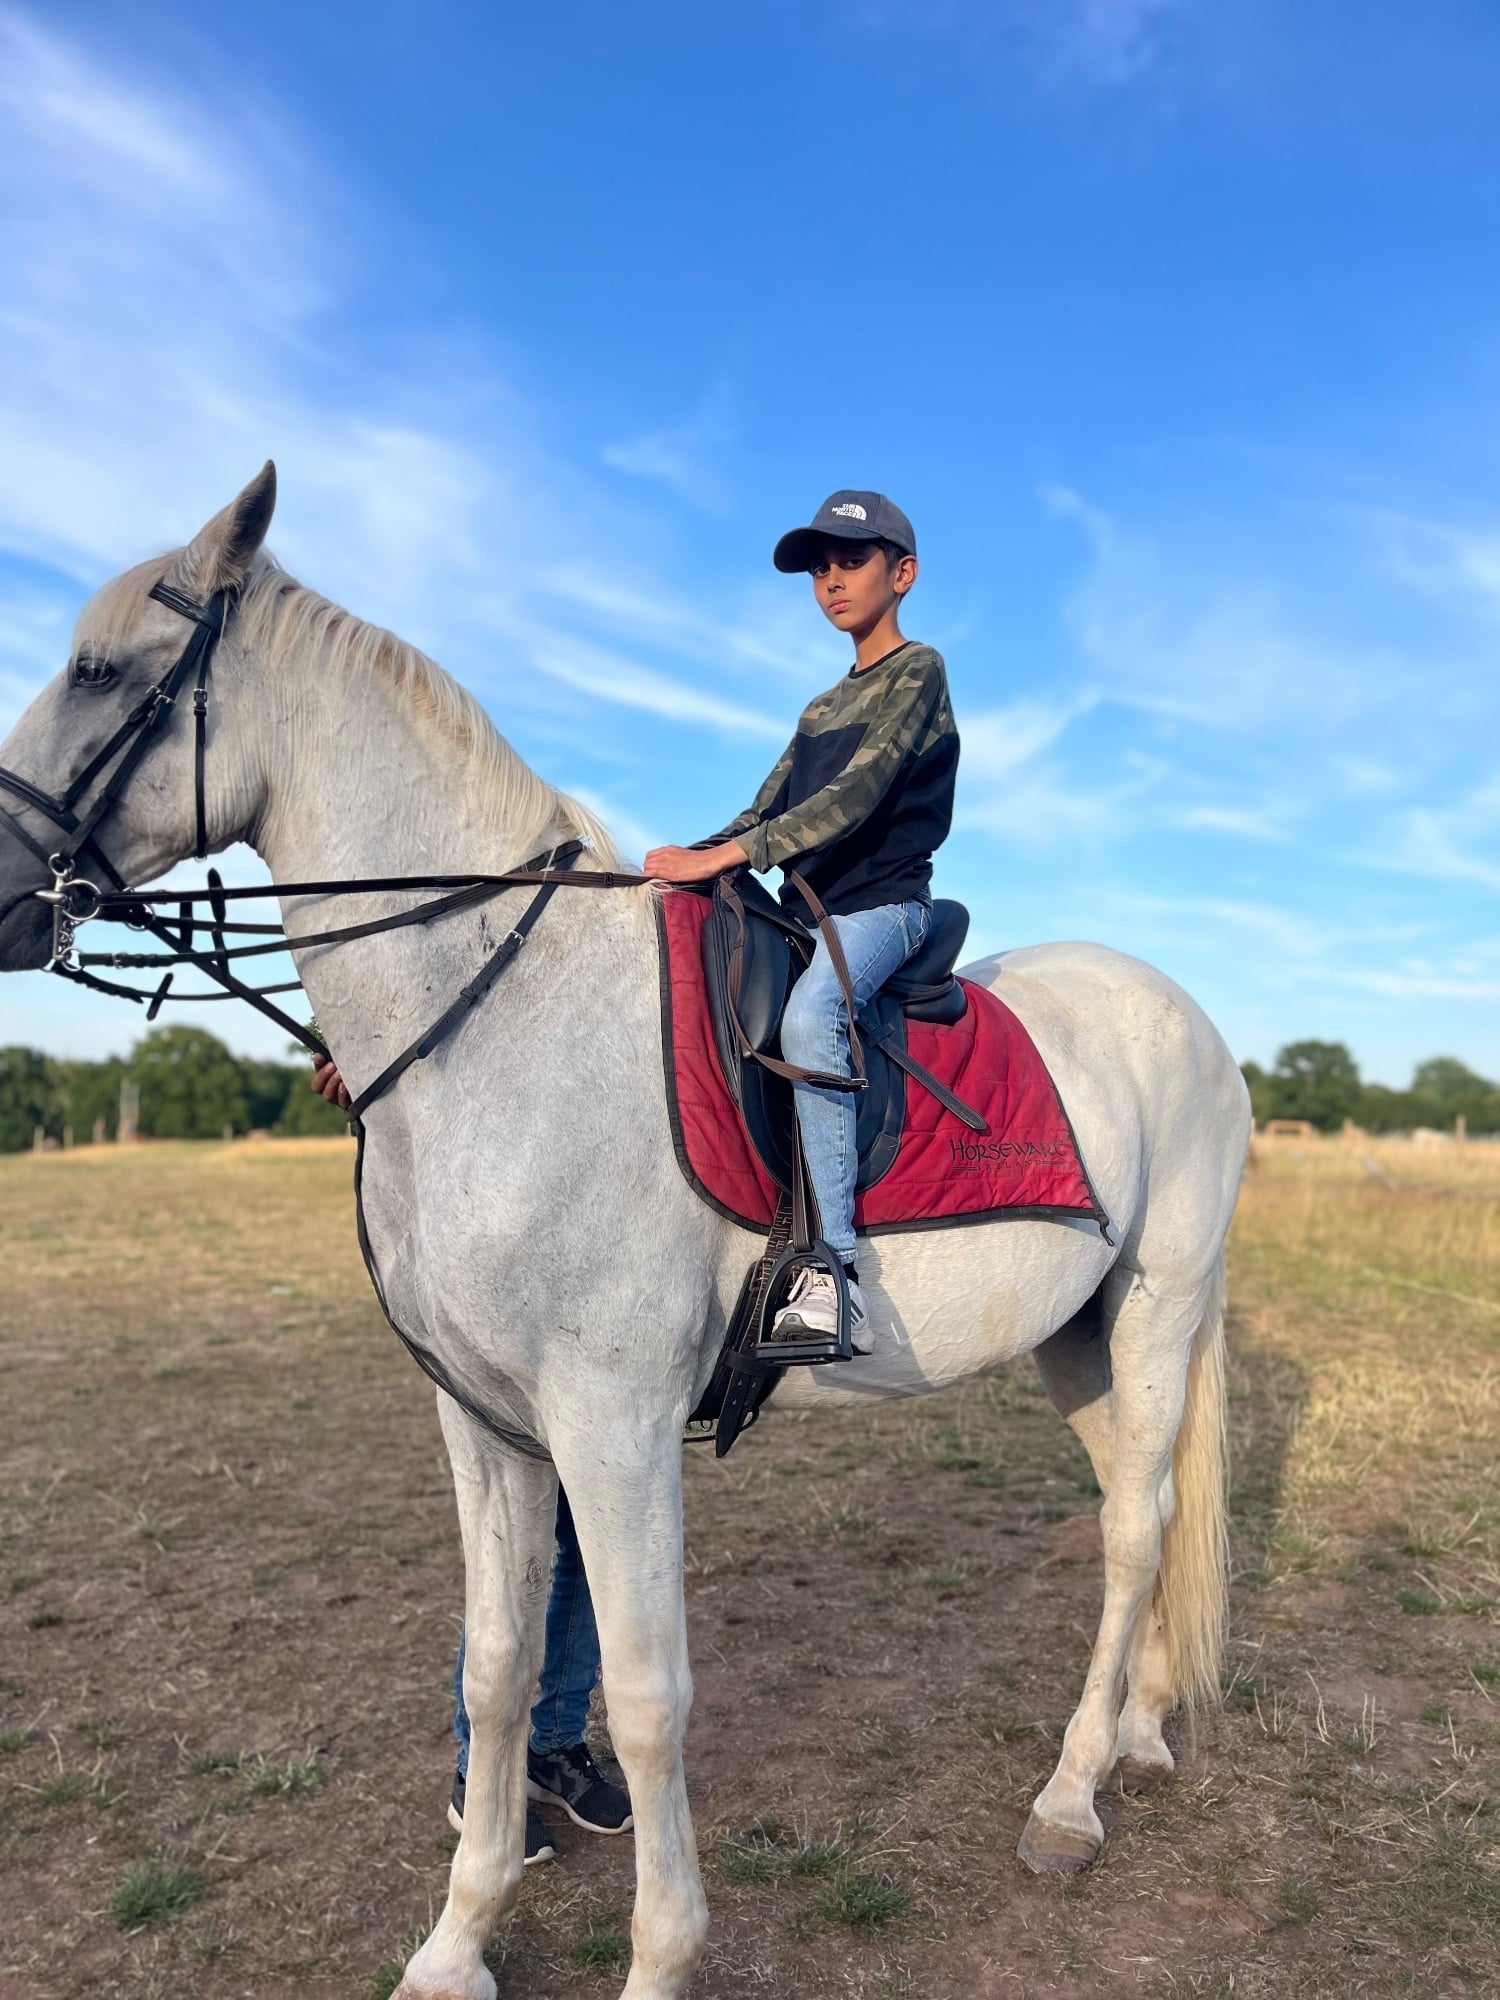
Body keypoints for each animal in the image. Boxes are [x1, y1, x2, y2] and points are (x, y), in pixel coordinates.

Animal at [0, 466, 1249, 2000]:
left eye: (96, 671)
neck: (496, 1021)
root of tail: (1186, 1013)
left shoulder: (613, 1422)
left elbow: (650, 1698)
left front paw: (659, 1957)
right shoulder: (486, 1420)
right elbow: (495, 1667)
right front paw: (457, 1941)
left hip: (1160, 1304)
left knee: (1134, 1532)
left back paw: (1071, 1797)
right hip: (1077, 1338)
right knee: (1148, 1501)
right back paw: (1135, 1728)